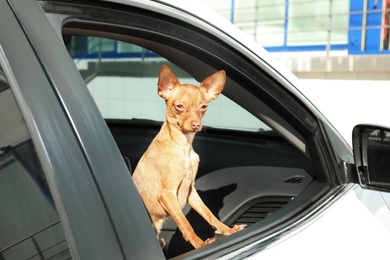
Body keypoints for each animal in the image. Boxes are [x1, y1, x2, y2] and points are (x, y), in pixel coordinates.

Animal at [133, 64, 245, 248]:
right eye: (179, 106)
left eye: (204, 107)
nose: (196, 124)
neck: (183, 146)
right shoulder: (167, 194)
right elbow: (185, 223)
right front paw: (200, 245)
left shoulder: (191, 190)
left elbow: (209, 214)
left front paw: (227, 231)